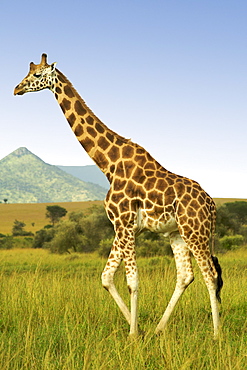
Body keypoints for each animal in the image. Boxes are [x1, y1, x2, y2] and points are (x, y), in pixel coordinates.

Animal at [13, 52, 223, 338]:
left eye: (36, 75)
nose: (16, 89)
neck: (109, 165)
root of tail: (212, 206)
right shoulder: (122, 227)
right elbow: (106, 277)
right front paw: (138, 327)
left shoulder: (124, 223)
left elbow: (132, 281)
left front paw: (133, 334)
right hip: (177, 233)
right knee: (186, 275)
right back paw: (159, 328)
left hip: (195, 231)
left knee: (210, 274)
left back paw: (216, 334)